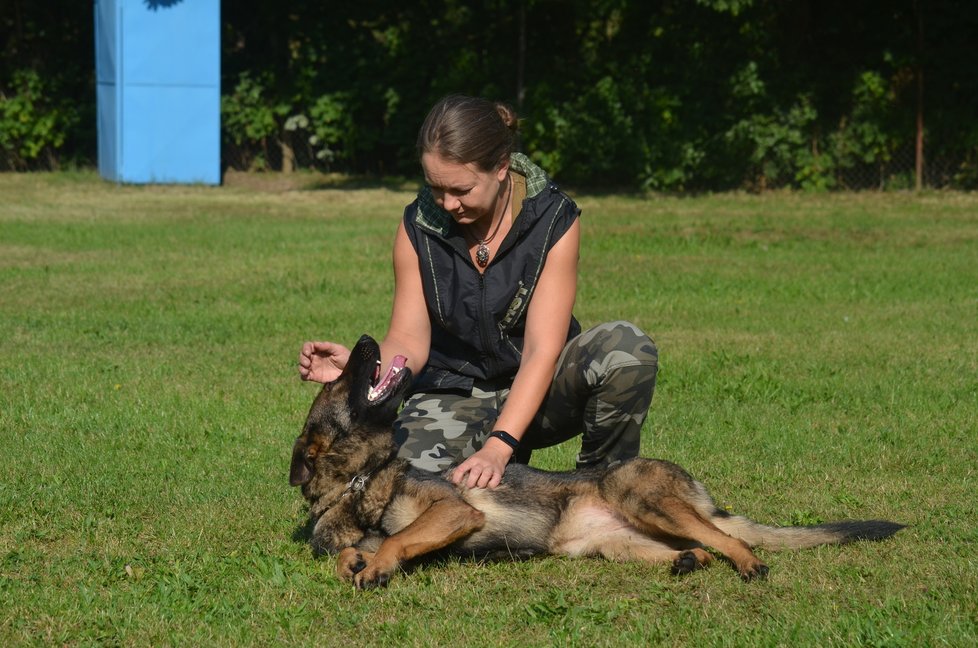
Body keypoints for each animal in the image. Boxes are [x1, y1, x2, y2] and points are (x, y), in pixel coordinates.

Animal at [288, 334, 900, 588]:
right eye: (340, 381)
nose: (366, 339)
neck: (359, 484)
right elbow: (345, 560)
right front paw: (357, 563)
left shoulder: (456, 512)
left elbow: (396, 540)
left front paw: (378, 565)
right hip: (615, 544)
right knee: (699, 548)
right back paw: (689, 563)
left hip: (642, 496)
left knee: (731, 539)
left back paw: (747, 565)